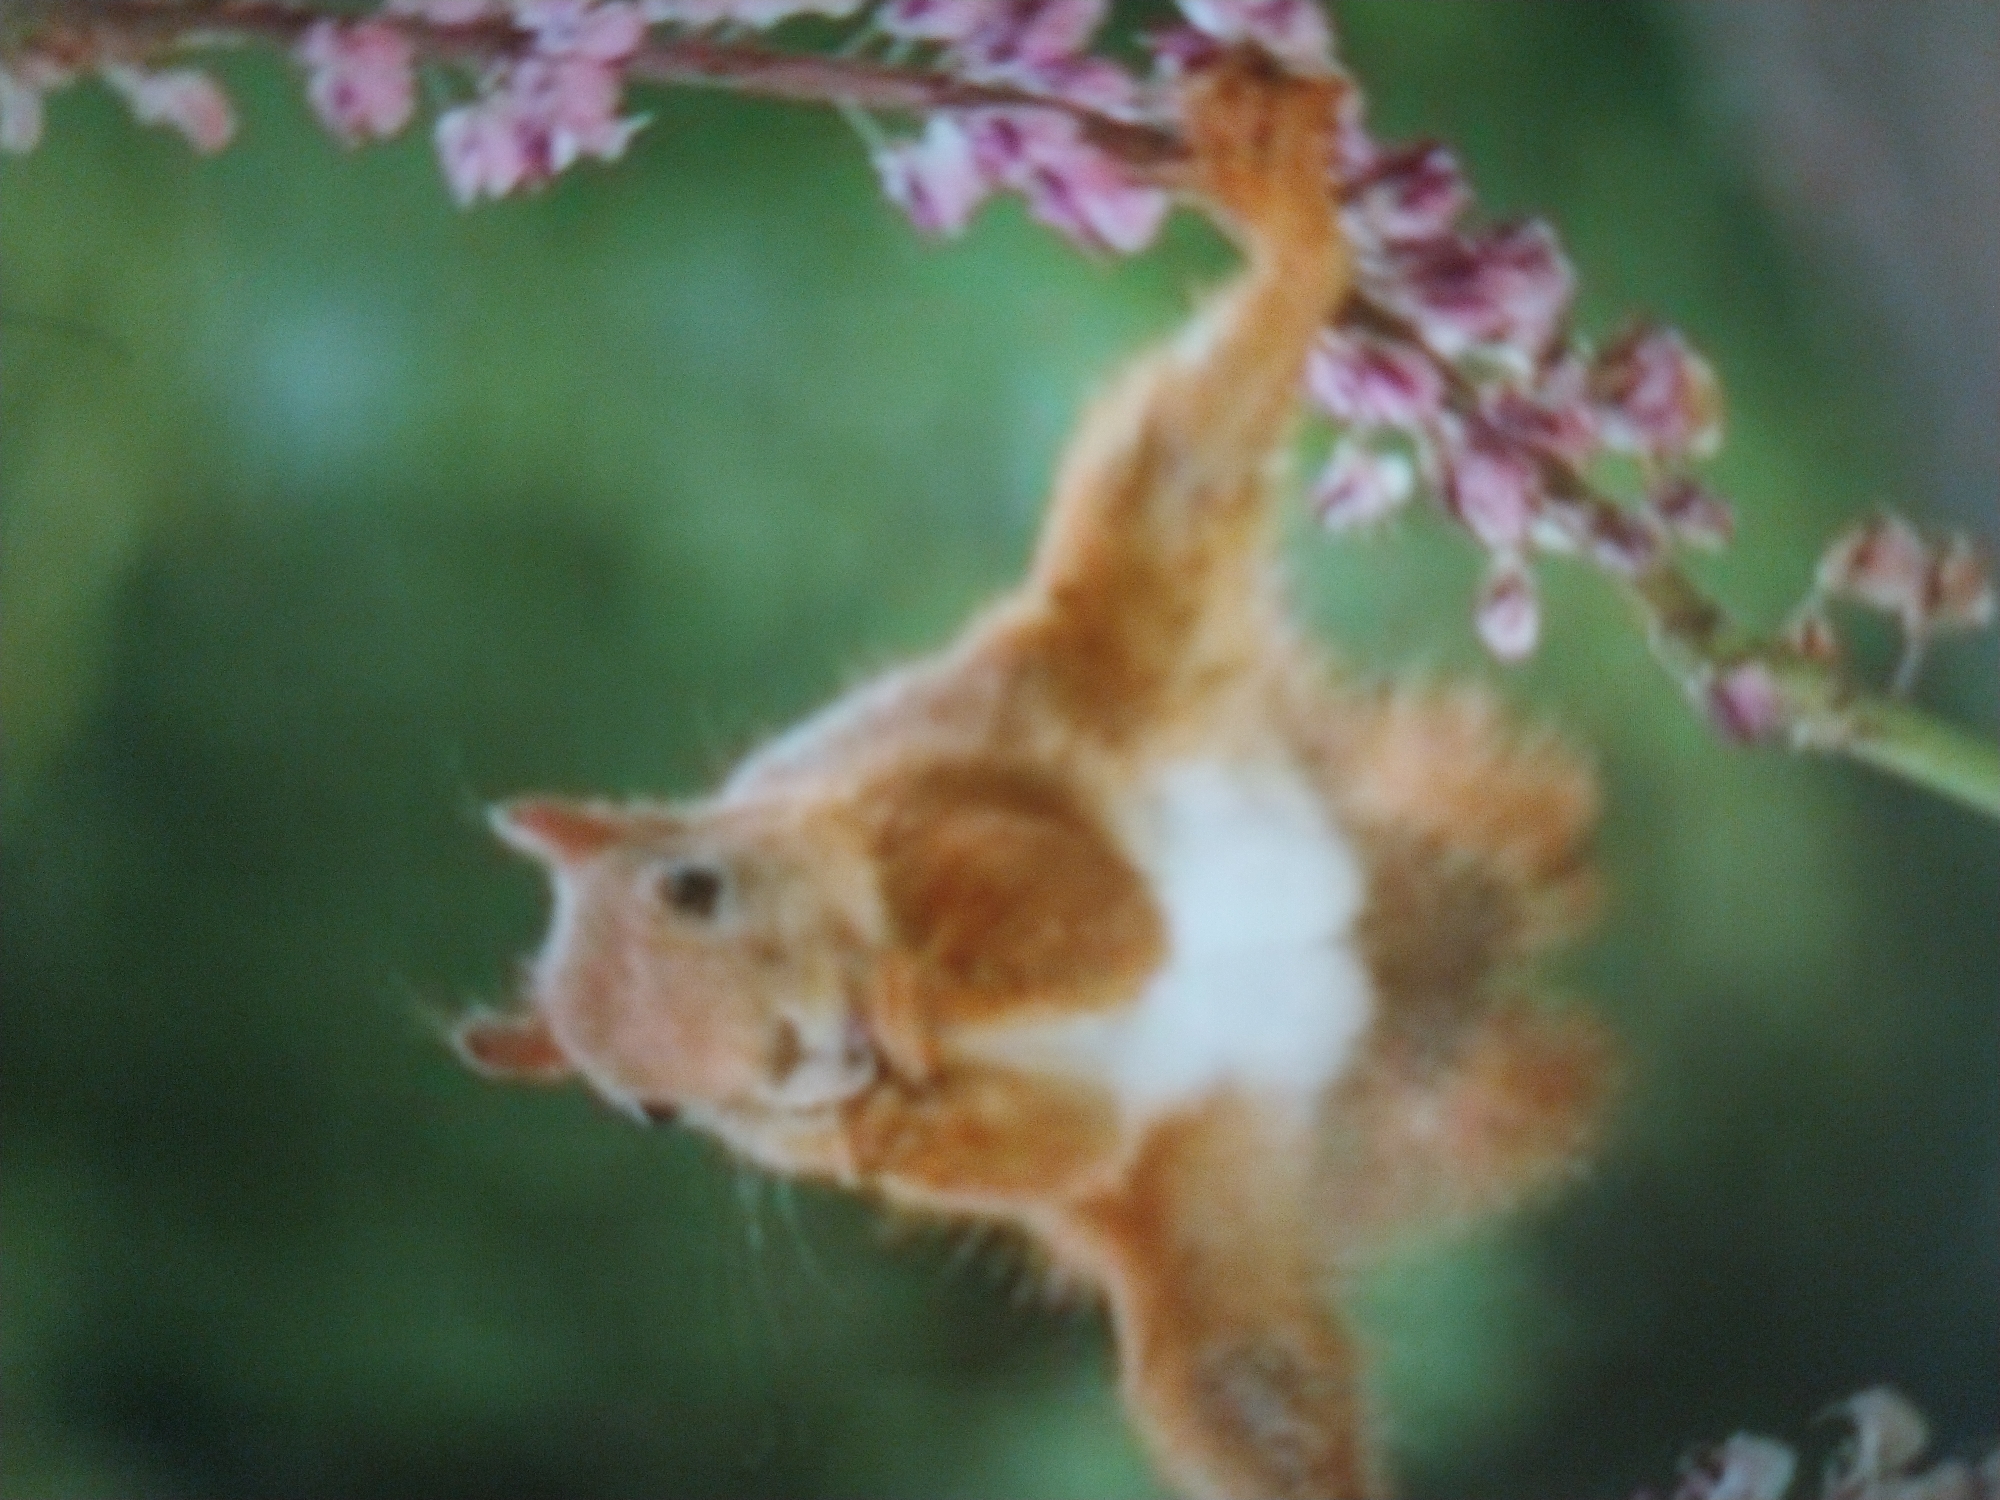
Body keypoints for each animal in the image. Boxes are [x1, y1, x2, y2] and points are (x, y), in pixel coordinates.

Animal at [454, 55, 1610, 1500]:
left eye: (692, 887)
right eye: (650, 1114)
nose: (801, 1058)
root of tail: (1384, 961)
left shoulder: (943, 797)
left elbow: (1099, 919)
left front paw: (918, 994)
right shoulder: (1032, 1145)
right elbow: (1046, 1142)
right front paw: (890, 1127)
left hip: (1114, 626)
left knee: (1176, 448)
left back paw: (1281, 217)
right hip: (1202, 1227)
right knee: (1237, 1386)